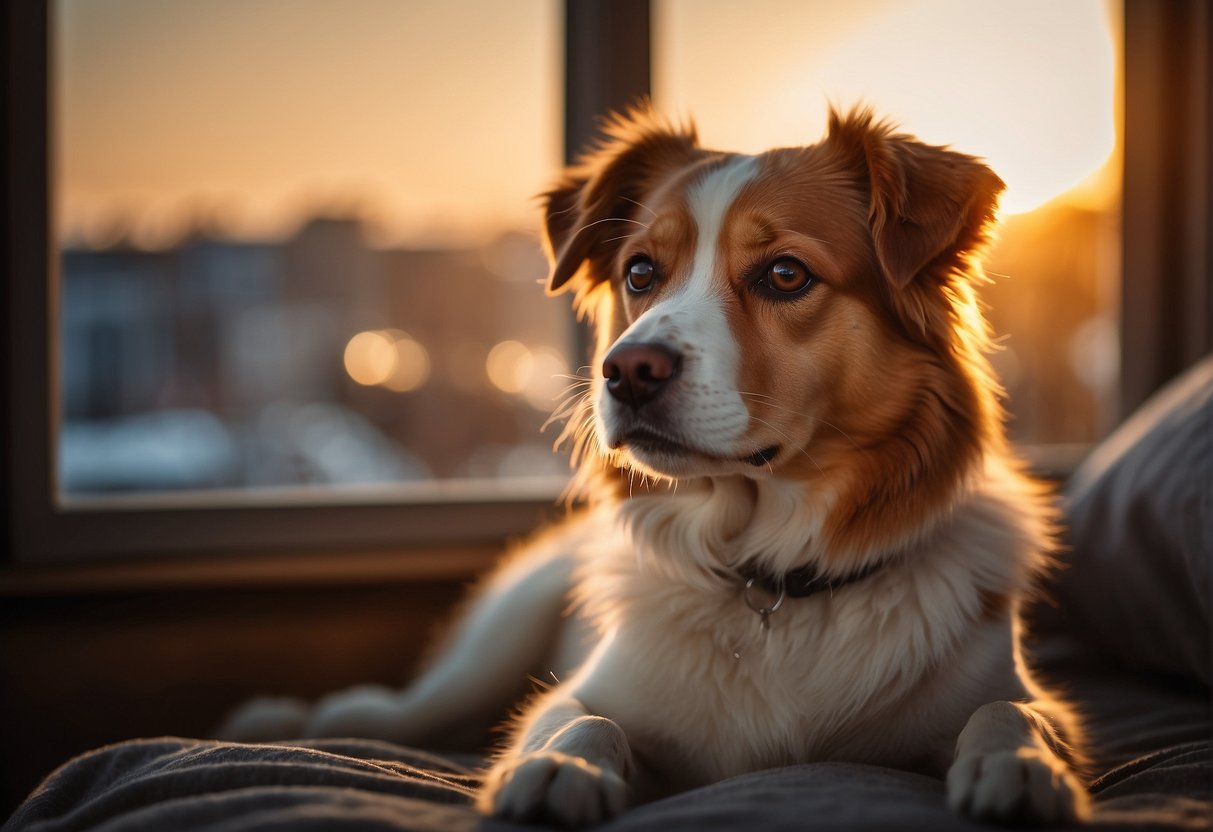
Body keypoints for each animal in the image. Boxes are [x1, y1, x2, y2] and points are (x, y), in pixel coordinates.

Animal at [218, 106, 1091, 829]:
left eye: (785, 274)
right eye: (640, 273)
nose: (626, 371)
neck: (769, 583)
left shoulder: (1009, 693)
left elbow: (1012, 715)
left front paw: (1022, 768)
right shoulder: (585, 691)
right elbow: (581, 719)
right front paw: (560, 769)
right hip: (502, 630)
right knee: (407, 709)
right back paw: (298, 722)